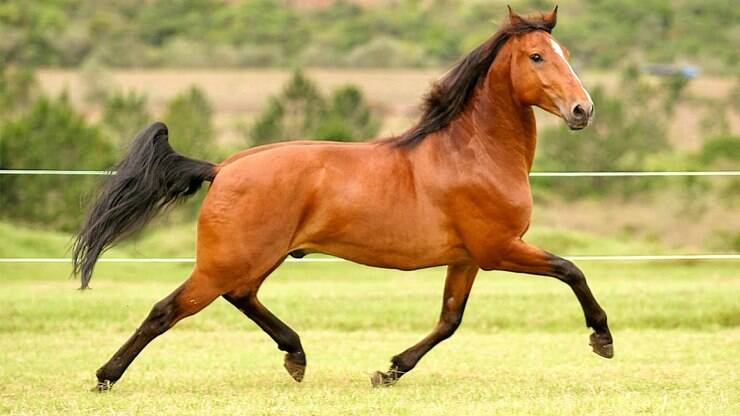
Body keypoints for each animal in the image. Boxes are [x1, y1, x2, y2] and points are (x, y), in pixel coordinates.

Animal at [73, 4, 612, 392]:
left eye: (565, 51)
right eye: (537, 56)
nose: (583, 110)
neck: (473, 153)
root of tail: (223, 168)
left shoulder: (468, 258)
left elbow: (449, 320)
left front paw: (389, 370)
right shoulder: (500, 249)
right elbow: (571, 270)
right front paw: (602, 338)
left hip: (258, 258)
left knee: (241, 296)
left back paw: (296, 356)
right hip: (227, 261)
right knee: (167, 310)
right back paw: (105, 377)